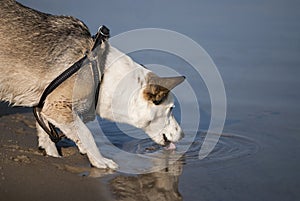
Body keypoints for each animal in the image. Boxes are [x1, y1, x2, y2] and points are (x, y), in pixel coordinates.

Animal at [0, 0, 185, 169]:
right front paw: (100, 160)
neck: (102, 74)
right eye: (171, 109)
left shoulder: (44, 106)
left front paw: (54, 155)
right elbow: (86, 133)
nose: (183, 135)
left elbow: (48, 133)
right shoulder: (57, 107)